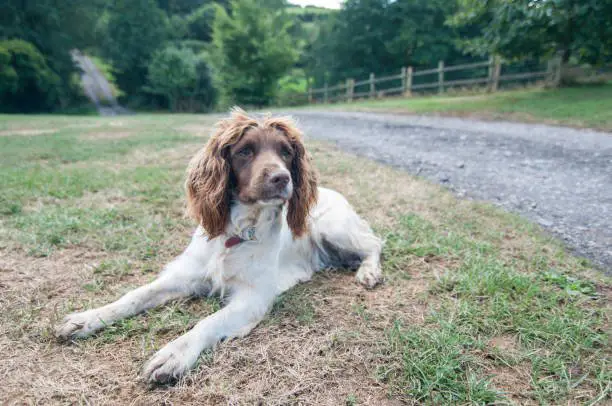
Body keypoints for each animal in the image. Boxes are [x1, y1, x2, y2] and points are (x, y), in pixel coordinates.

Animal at [57, 108, 382, 384]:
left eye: (286, 152)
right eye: (245, 151)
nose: (282, 178)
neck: (235, 233)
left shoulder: (252, 297)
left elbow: (208, 323)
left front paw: (174, 354)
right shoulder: (185, 276)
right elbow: (135, 295)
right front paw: (86, 318)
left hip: (334, 228)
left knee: (374, 243)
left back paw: (368, 272)